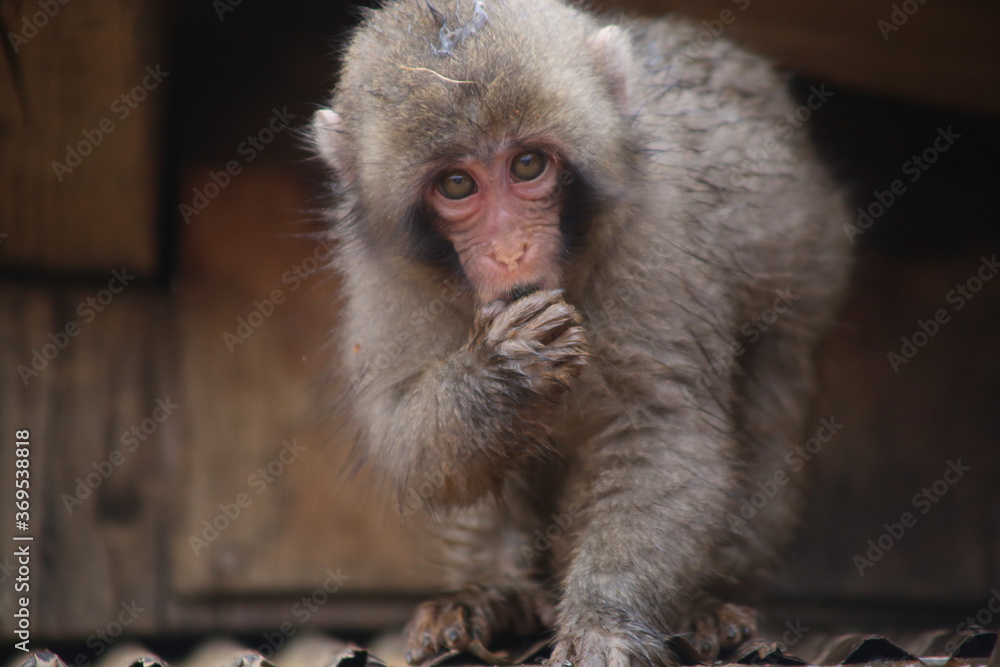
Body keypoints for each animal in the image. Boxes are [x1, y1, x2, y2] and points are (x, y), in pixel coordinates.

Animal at [310, 1, 850, 665]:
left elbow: (658, 430)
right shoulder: (384, 269)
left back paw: (711, 601)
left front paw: (604, 623)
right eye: (457, 184)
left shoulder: (651, 231)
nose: (510, 251)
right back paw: (494, 595)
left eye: (527, 165)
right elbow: (404, 442)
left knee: (768, 406)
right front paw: (507, 369)